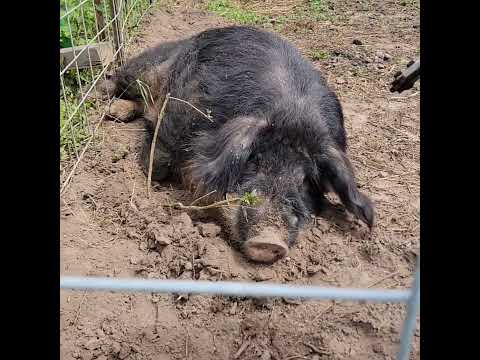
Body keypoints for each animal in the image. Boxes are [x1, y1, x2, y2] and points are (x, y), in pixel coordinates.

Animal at [97, 24, 376, 262]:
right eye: (253, 163)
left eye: (305, 180)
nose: (269, 240)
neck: (292, 113)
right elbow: (158, 165)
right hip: (146, 68)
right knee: (120, 80)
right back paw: (107, 104)